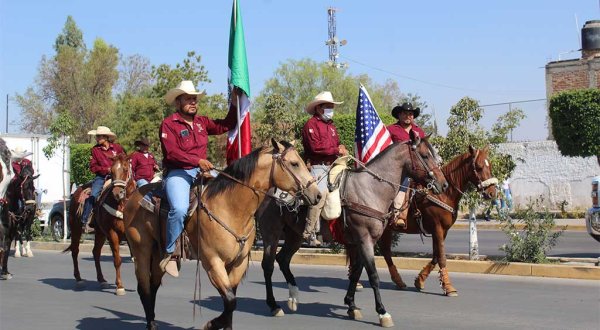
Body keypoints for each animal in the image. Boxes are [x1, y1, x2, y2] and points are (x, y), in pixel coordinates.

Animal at [63, 152, 136, 294]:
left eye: (125, 169)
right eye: (111, 171)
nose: (117, 193)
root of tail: (76, 191)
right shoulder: (112, 233)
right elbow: (117, 259)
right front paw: (120, 286)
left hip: (100, 233)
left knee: (96, 252)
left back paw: (102, 279)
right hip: (76, 229)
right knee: (75, 251)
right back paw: (79, 279)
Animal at [123, 139, 324, 330]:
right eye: (294, 163)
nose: (318, 195)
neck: (230, 208)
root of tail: (132, 197)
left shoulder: (238, 263)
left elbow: (230, 301)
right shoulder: (213, 263)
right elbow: (230, 301)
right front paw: (211, 324)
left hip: (158, 254)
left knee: (153, 285)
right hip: (142, 251)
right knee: (144, 288)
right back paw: (151, 323)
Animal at [382, 146, 500, 296]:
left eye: (489, 166)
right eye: (478, 167)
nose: (492, 193)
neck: (444, 194)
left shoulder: (442, 231)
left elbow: (436, 256)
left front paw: (420, 280)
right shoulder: (437, 228)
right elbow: (442, 257)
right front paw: (448, 287)